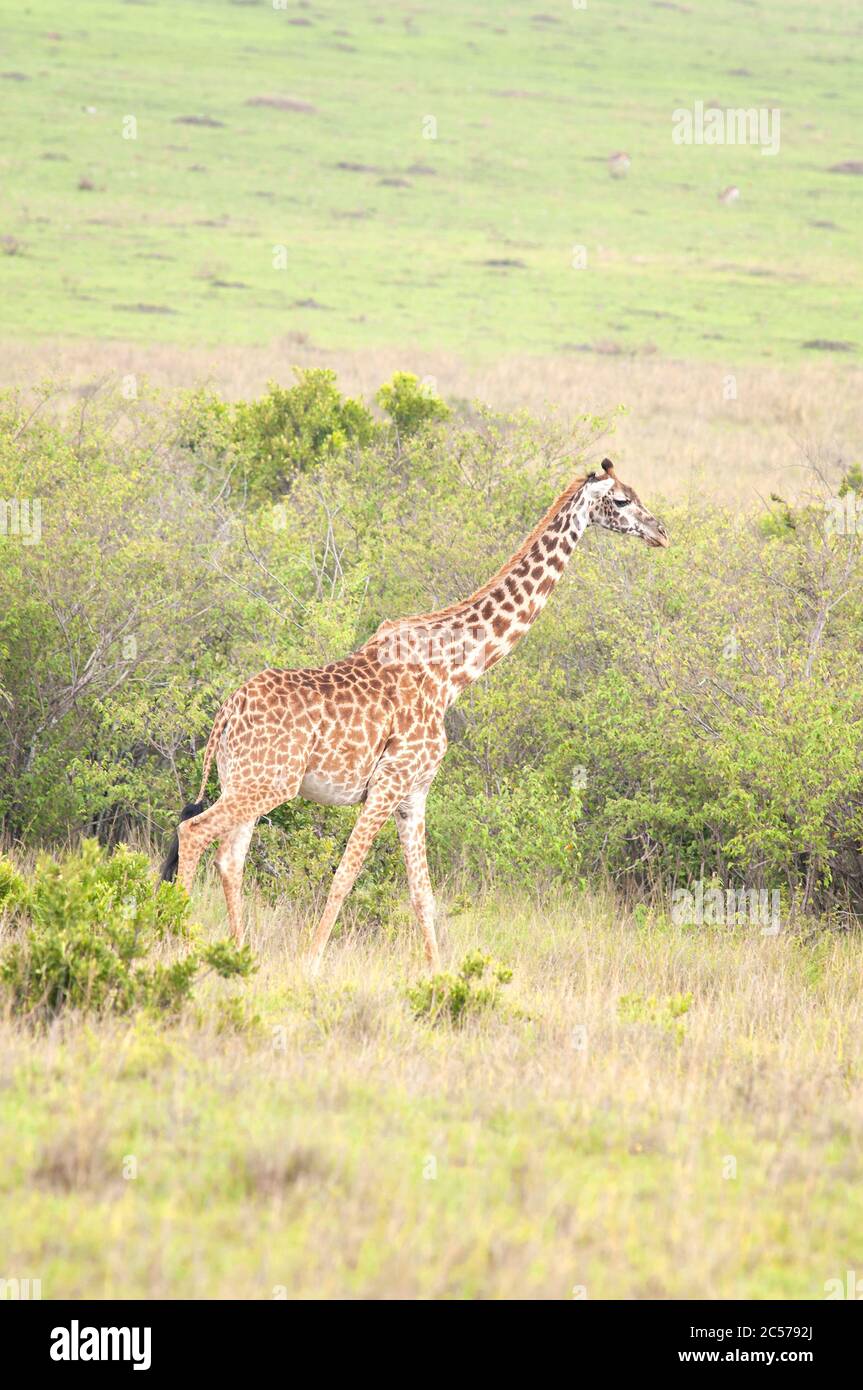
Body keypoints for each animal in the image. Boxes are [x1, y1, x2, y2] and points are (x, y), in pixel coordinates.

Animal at [159, 461, 667, 973]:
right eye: (621, 500)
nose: (661, 533)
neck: (453, 671)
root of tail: (225, 714)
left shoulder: (415, 792)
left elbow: (423, 895)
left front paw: (438, 972)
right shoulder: (389, 782)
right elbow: (345, 875)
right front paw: (311, 963)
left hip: (247, 780)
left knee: (229, 858)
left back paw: (238, 951)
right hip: (269, 783)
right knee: (193, 831)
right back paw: (178, 941)